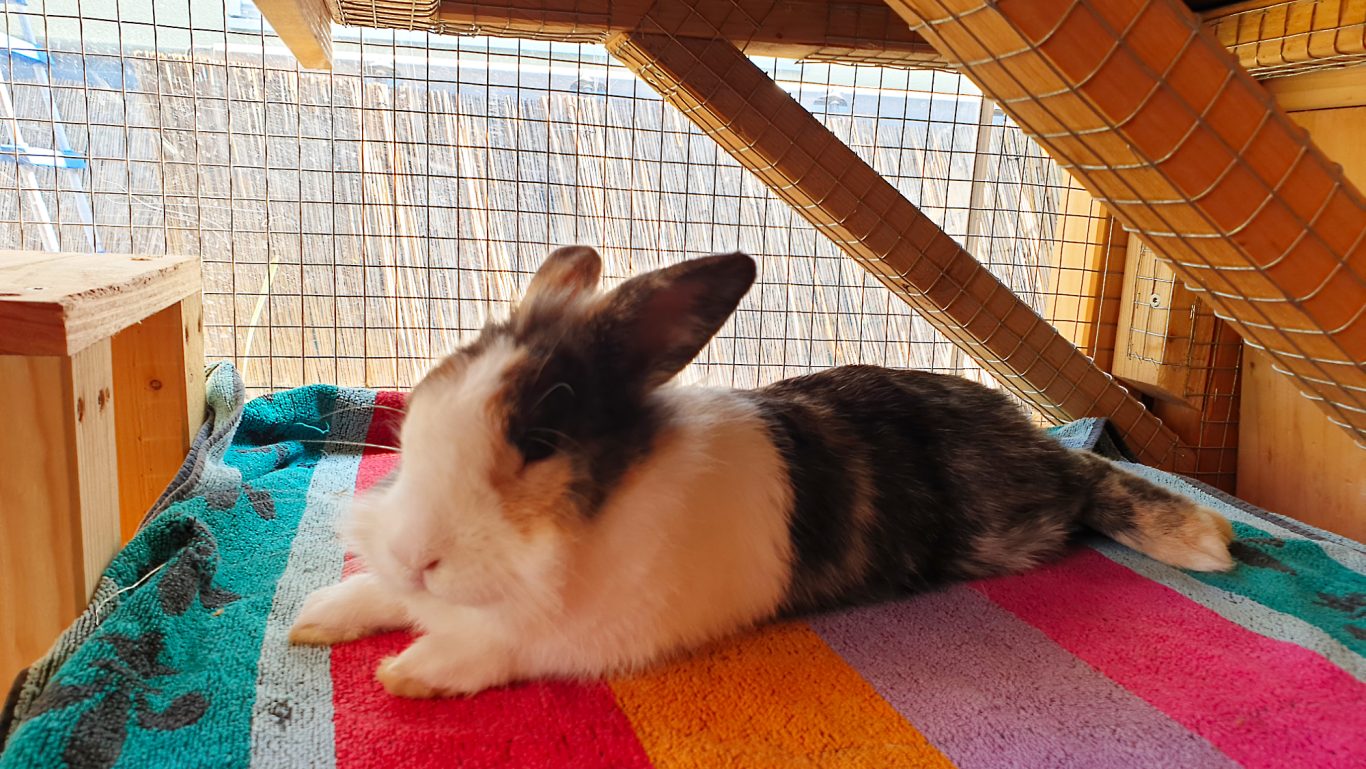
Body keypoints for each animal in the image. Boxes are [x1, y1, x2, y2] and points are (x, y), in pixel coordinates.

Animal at [289, 246, 1234, 698]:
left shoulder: (580, 633)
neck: (599, 512)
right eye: (425, 404)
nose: (417, 555)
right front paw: (323, 615)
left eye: (539, 440)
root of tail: (1034, 444)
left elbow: (500, 643)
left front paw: (412, 671)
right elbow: (384, 599)